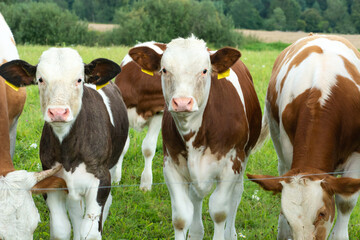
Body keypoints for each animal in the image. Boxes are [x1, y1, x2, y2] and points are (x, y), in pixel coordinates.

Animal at [0, 47, 129, 240]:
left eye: (79, 79)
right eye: (40, 79)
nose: (58, 112)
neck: (69, 150)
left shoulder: (101, 178)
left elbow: (91, 232)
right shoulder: (55, 180)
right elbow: (61, 229)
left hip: (113, 166)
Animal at [129, 36, 262, 240]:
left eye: (204, 70)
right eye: (164, 70)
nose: (182, 102)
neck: (194, 134)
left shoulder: (231, 165)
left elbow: (219, 212)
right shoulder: (171, 165)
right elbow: (181, 217)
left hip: (243, 157)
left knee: (236, 194)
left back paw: (231, 233)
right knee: (196, 197)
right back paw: (196, 232)